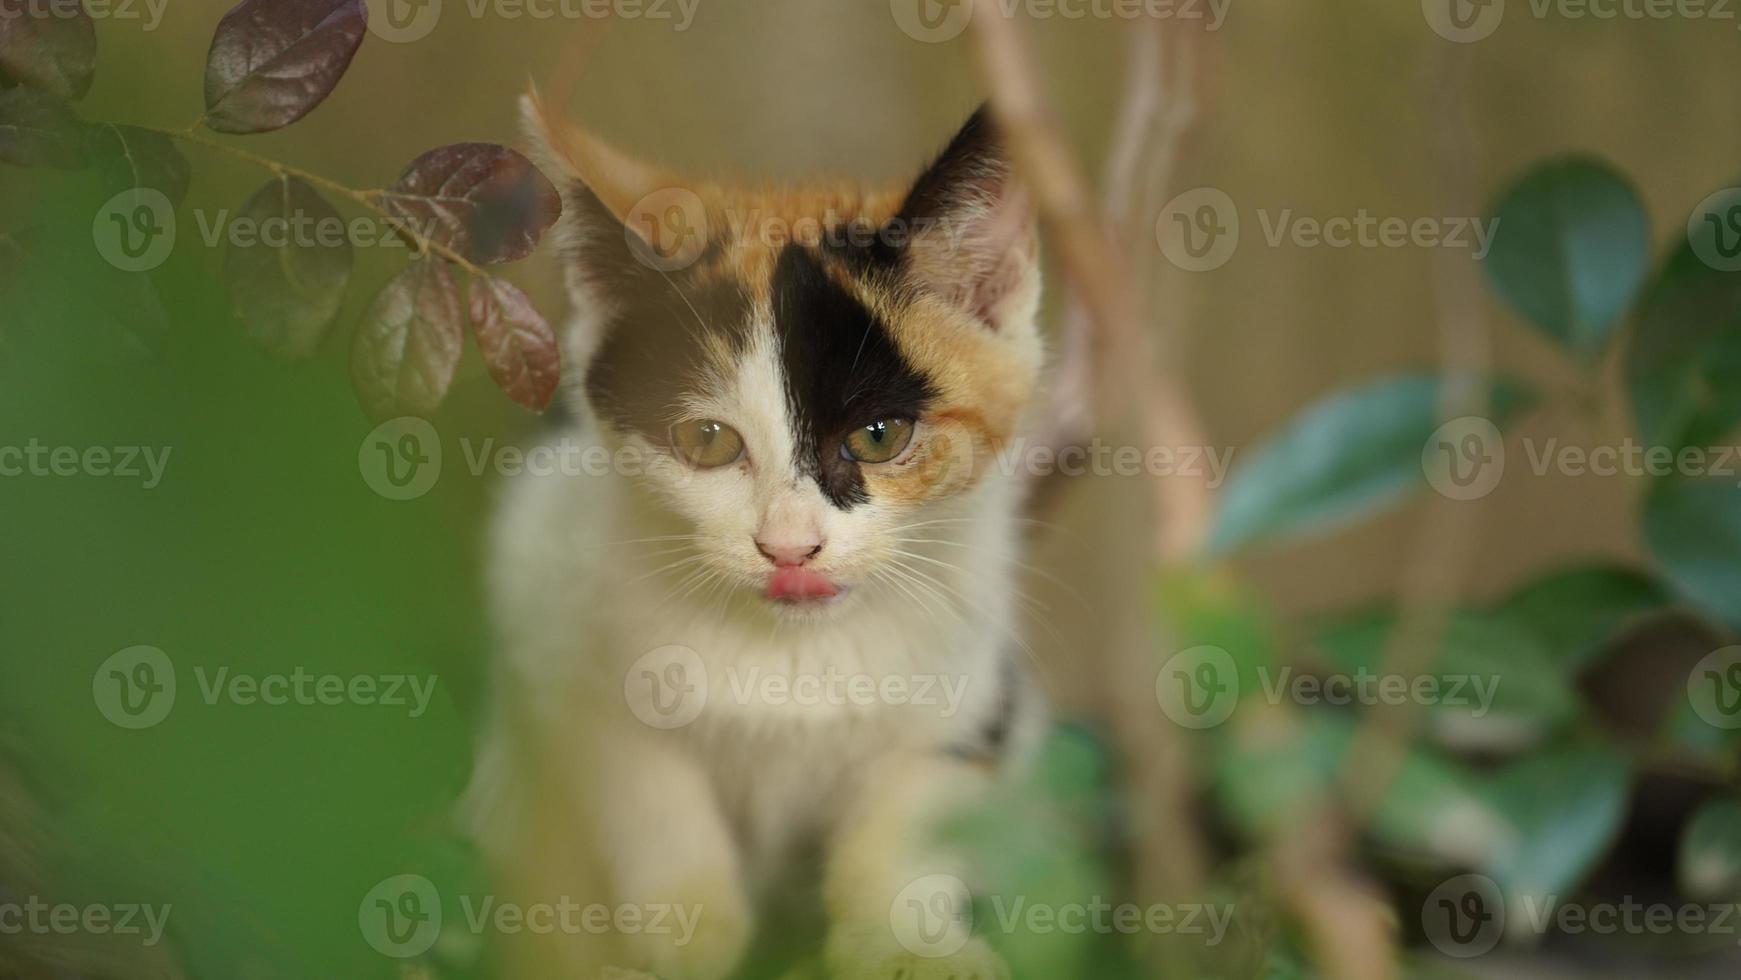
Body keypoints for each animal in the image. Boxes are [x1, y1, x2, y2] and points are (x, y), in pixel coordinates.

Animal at [463, 93, 1044, 980]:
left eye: (879, 436)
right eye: (707, 441)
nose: (788, 546)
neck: (793, 654)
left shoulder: (970, 687)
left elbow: (912, 817)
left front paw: (908, 943)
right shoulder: (567, 625)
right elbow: (645, 790)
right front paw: (682, 936)